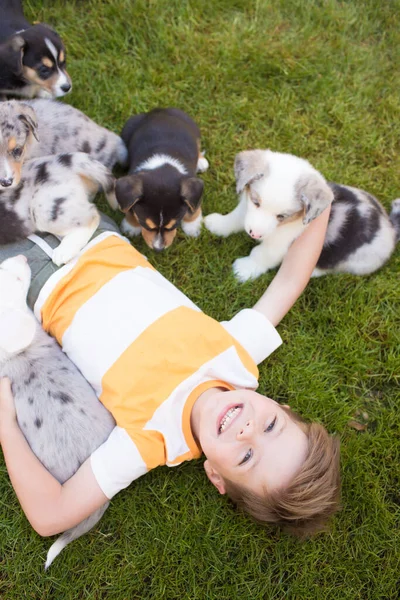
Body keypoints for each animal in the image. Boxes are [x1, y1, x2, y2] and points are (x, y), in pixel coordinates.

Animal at [115, 106, 209, 250]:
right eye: (146, 225)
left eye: (174, 226)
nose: (158, 249)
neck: (162, 170)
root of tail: (159, 110)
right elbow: (130, 210)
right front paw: (131, 227)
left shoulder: (194, 190)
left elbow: (194, 209)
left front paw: (192, 227)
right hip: (127, 130)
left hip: (194, 129)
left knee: (198, 145)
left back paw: (202, 162)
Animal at [205, 150, 398, 282]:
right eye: (256, 202)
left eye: (282, 216)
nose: (254, 234)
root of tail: (389, 227)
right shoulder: (246, 209)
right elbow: (233, 219)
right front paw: (215, 225)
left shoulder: (278, 245)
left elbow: (261, 255)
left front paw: (243, 270)